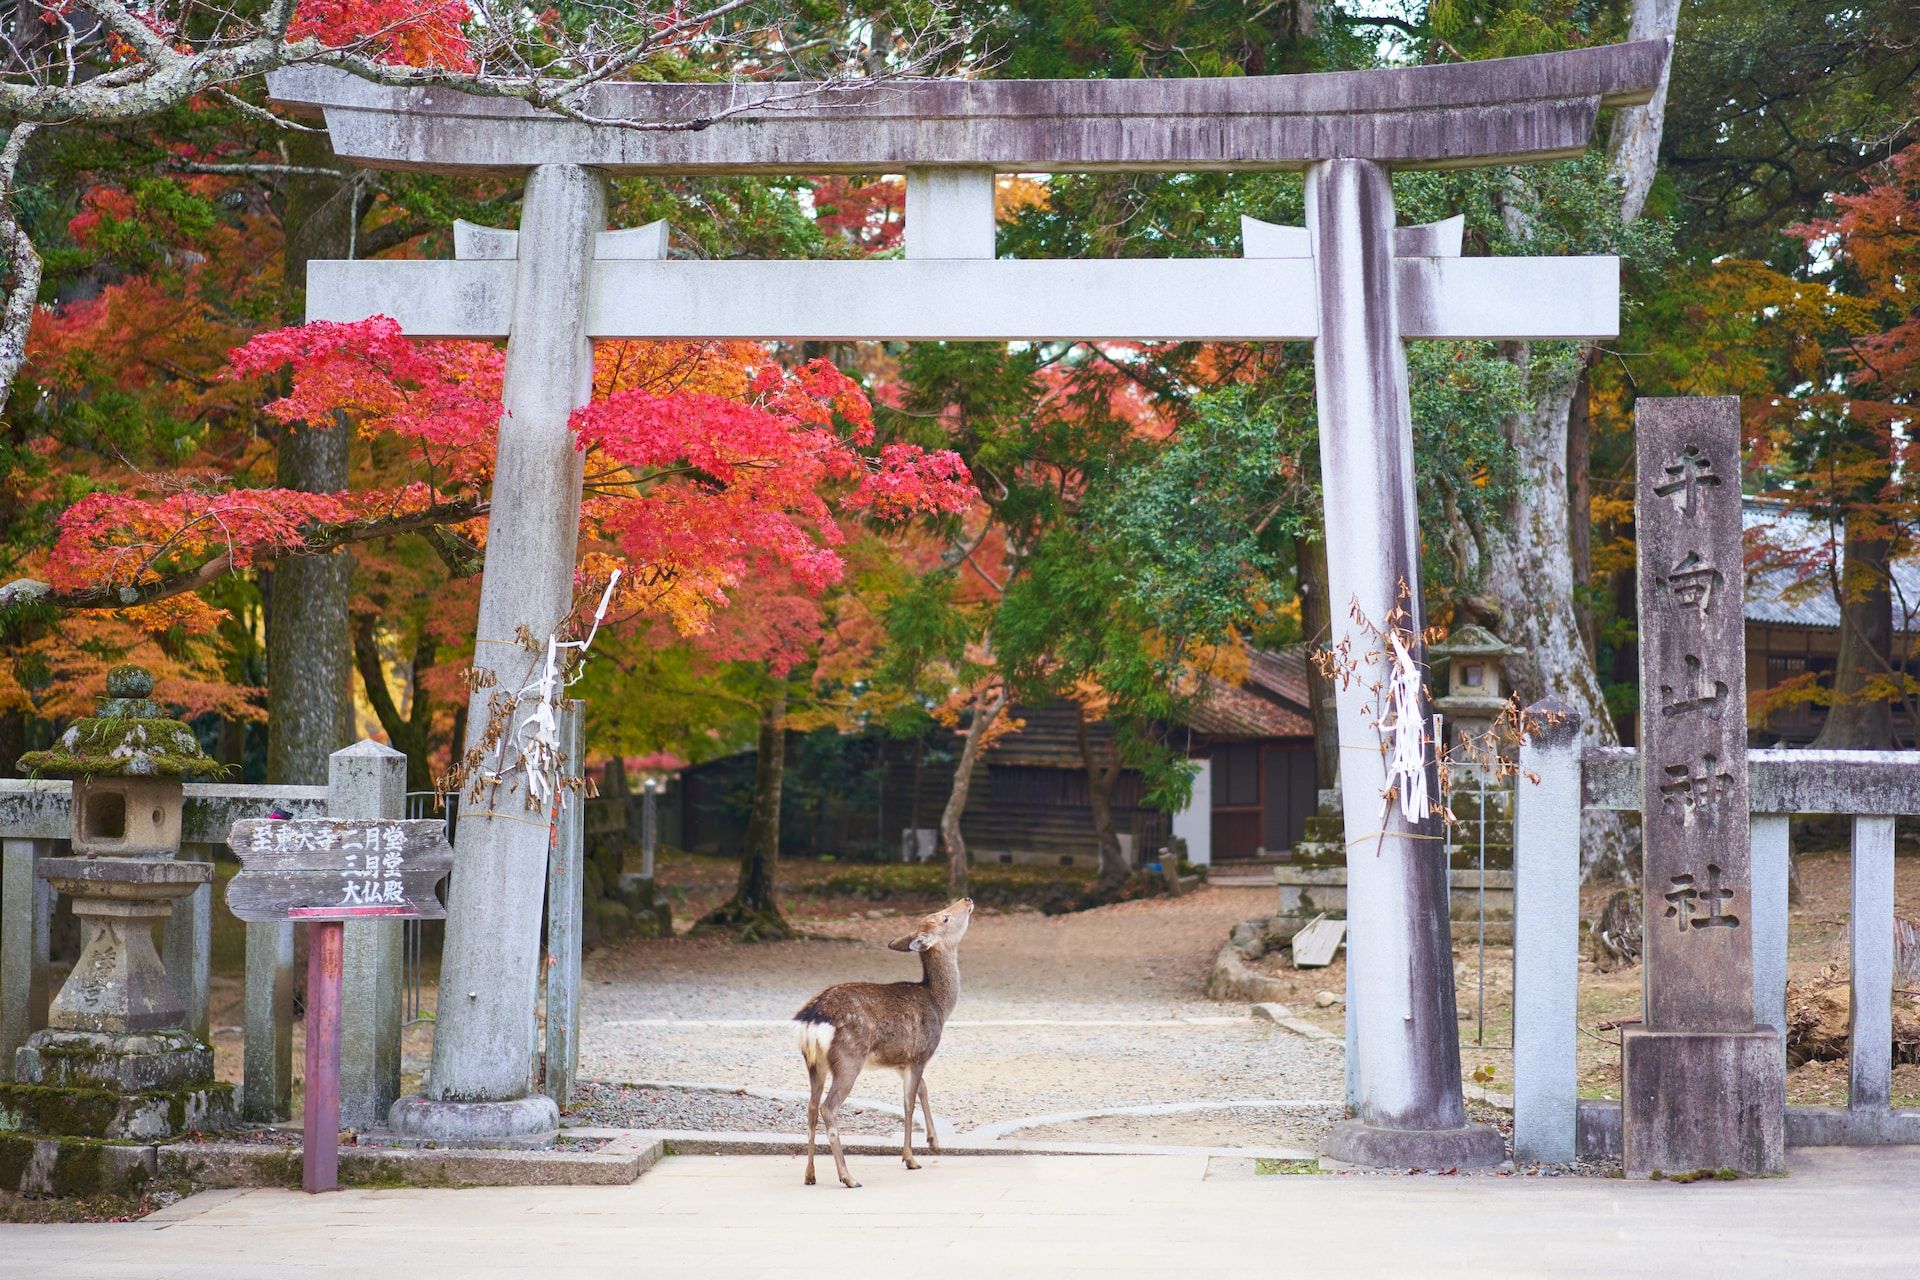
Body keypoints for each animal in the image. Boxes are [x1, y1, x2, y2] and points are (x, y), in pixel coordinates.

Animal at [793, 897, 973, 1187]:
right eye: (944, 917)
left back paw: (810, 1174)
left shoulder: (901, 1061)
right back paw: (848, 1176)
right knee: (828, 1107)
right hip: (848, 1058)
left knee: (810, 1107)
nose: (967, 899)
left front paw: (934, 1142)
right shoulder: (921, 1053)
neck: (939, 1004)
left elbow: (923, 1090)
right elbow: (909, 1103)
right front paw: (910, 1158)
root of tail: (811, 1018)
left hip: (813, 1063)